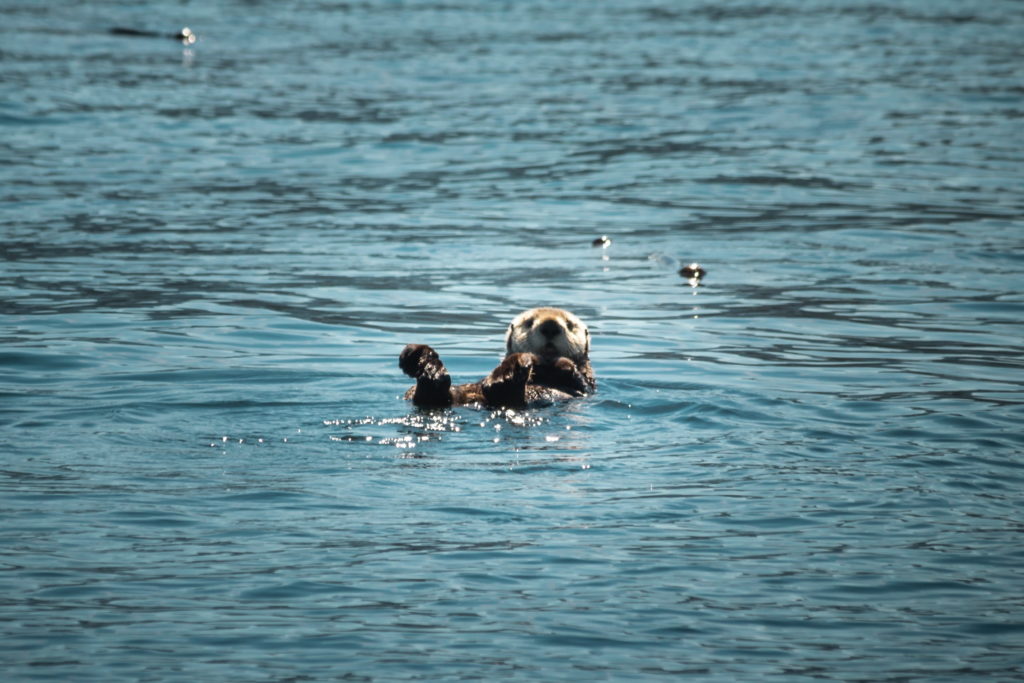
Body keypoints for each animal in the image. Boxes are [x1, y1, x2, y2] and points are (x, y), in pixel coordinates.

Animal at [400, 307, 596, 409]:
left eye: (570, 325)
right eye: (529, 322)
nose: (550, 326)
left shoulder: (587, 384)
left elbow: (577, 378)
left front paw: (560, 363)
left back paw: (511, 370)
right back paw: (420, 358)